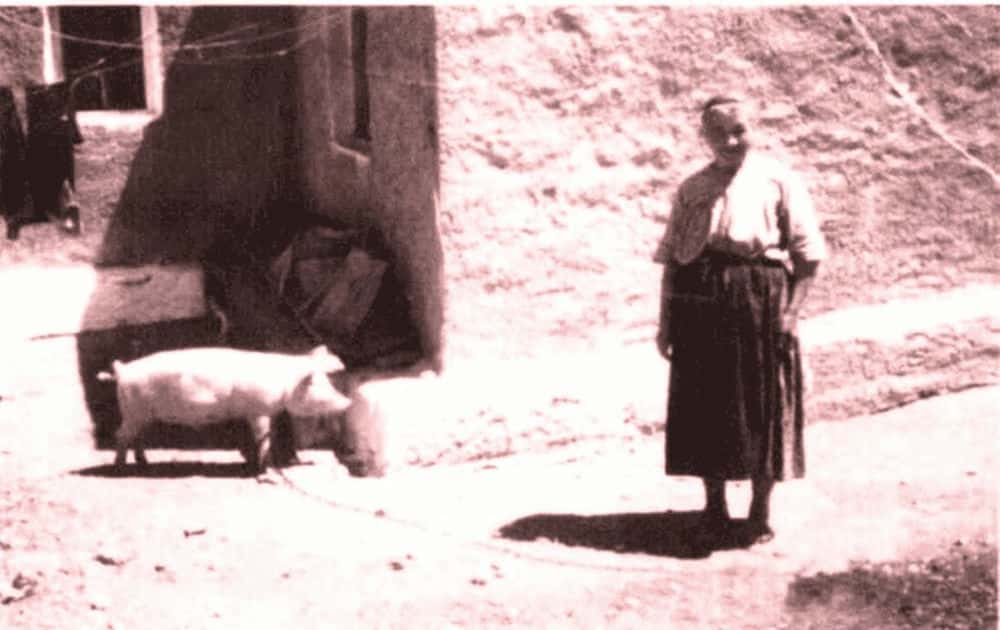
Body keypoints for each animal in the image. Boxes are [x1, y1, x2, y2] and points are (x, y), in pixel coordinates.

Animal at [99, 345, 353, 476]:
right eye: (317, 386)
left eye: (327, 382)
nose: (348, 402)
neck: (285, 384)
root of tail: (122, 371)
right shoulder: (257, 409)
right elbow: (262, 437)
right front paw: (265, 470)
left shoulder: (264, 410)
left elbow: (266, 436)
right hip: (133, 411)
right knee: (120, 436)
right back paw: (120, 468)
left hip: (141, 415)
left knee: (137, 437)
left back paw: (144, 464)